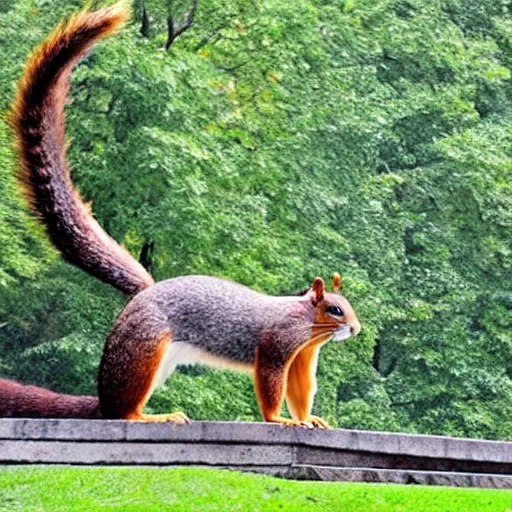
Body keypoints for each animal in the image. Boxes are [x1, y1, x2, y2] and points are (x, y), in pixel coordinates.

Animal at [1, 4, 360, 428]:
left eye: (347, 306)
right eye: (334, 309)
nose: (355, 328)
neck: (307, 321)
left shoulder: (303, 356)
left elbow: (300, 390)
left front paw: (308, 418)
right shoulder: (278, 342)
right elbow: (271, 383)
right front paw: (279, 420)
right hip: (146, 345)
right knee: (122, 411)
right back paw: (149, 417)